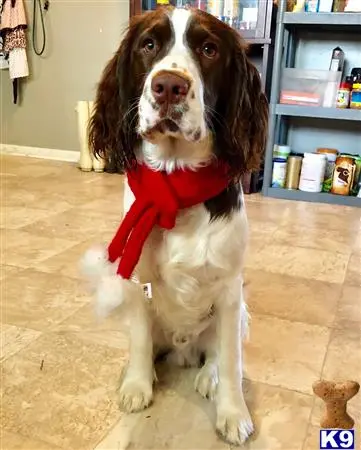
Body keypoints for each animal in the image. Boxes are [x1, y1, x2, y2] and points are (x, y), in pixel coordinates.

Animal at [84, 7, 268, 446]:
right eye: (149, 44)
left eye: (209, 49)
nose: (169, 86)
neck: (175, 185)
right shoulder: (136, 279)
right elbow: (138, 339)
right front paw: (137, 385)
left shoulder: (230, 288)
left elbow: (233, 362)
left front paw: (234, 414)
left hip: (239, 312)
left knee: (217, 353)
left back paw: (208, 376)